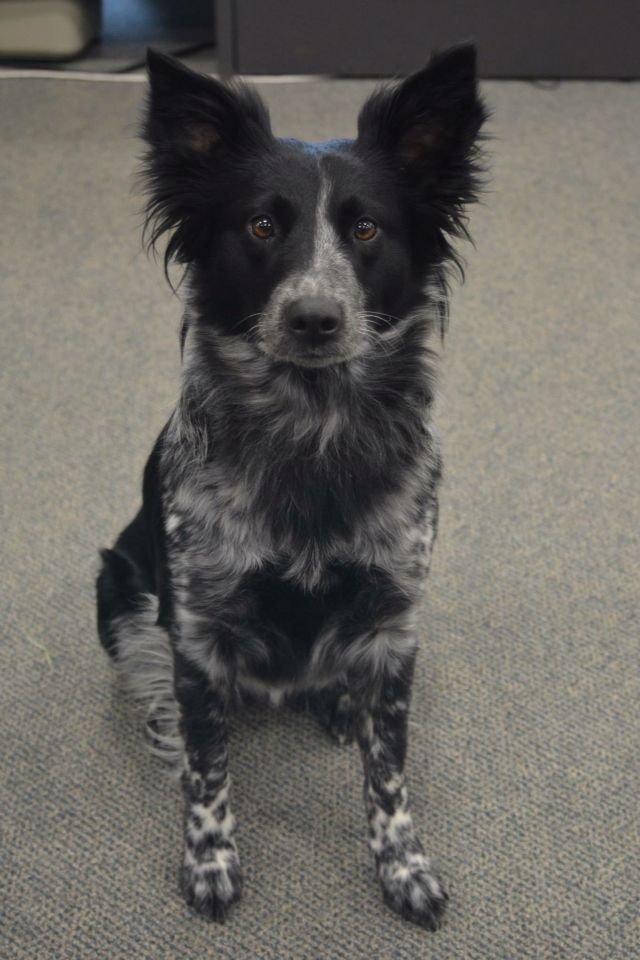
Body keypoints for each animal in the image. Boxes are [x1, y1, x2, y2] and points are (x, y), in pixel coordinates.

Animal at [96, 47, 484, 928]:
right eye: (262, 226)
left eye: (367, 228)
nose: (314, 318)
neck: (313, 431)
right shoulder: (199, 628)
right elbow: (208, 773)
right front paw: (210, 861)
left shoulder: (393, 623)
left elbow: (389, 776)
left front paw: (404, 868)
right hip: (118, 586)